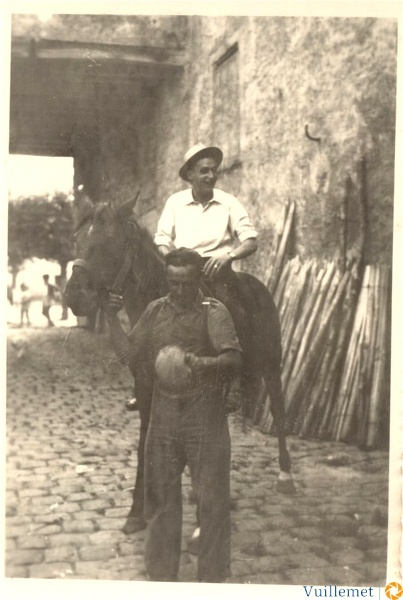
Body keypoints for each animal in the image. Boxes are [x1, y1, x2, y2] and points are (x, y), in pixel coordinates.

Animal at [65, 195, 294, 532]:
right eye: (77, 240)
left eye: (111, 241)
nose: (73, 297)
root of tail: (258, 286)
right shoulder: (145, 384)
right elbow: (146, 440)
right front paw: (138, 512)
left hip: (270, 364)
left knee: (277, 409)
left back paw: (285, 475)